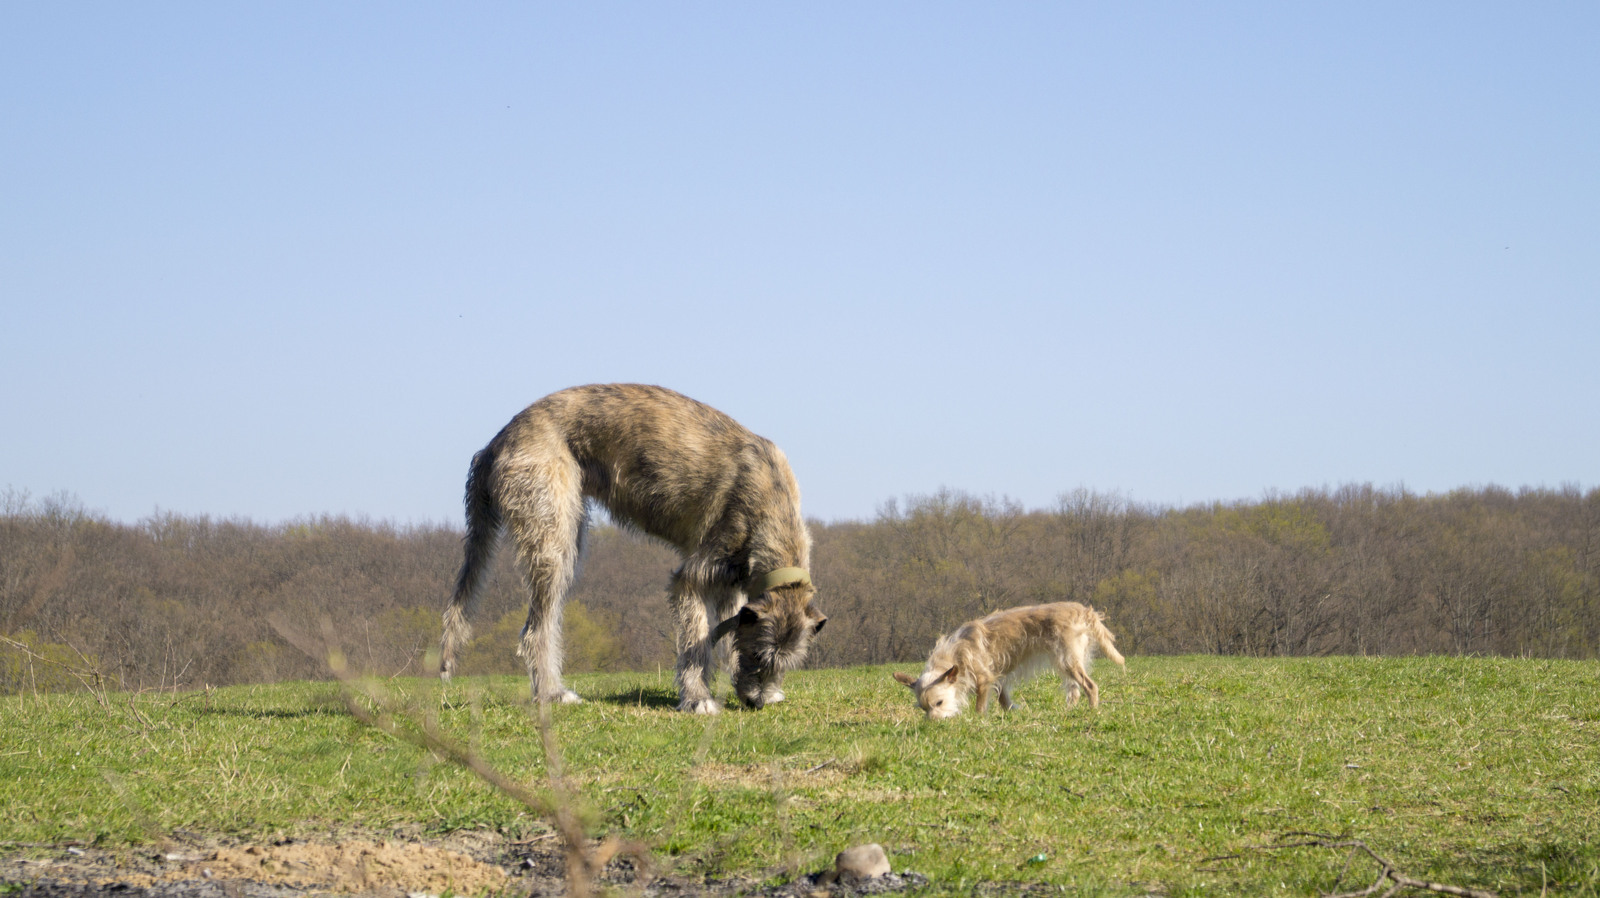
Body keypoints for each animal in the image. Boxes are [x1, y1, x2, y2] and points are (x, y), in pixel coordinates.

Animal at [438, 380, 825, 710]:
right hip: (552, 537)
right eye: (759, 655)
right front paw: (698, 699)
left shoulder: (732, 584)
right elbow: (696, 640)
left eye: (785, 663)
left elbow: (727, 635)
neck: (771, 500)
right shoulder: (694, 576)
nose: (756, 703)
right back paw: (552, 693)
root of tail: (495, 442)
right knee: (536, 630)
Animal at [902, 598, 1126, 717]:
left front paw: (978, 720)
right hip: (1068, 663)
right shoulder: (999, 677)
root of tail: (1084, 611)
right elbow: (1003, 697)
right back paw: (1068, 710)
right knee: (1075, 690)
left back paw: (1092, 710)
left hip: (1067, 661)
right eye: (924, 709)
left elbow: (980, 705)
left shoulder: (984, 679)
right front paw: (1012, 710)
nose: (934, 724)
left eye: (939, 703)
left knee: (1091, 686)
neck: (956, 654)